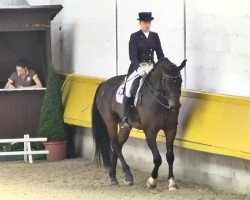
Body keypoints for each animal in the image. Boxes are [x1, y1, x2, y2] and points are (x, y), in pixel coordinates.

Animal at [91, 57, 186, 189]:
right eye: (167, 82)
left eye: (180, 81)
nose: (175, 106)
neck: (159, 101)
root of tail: (104, 85)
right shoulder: (150, 131)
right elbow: (157, 158)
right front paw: (152, 181)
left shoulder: (171, 129)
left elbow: (170, 156)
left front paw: (172, 182)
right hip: (110, 121)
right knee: (115, 144)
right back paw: (127, 175)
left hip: (125, 126)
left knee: (118, 145)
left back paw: (113, 177)